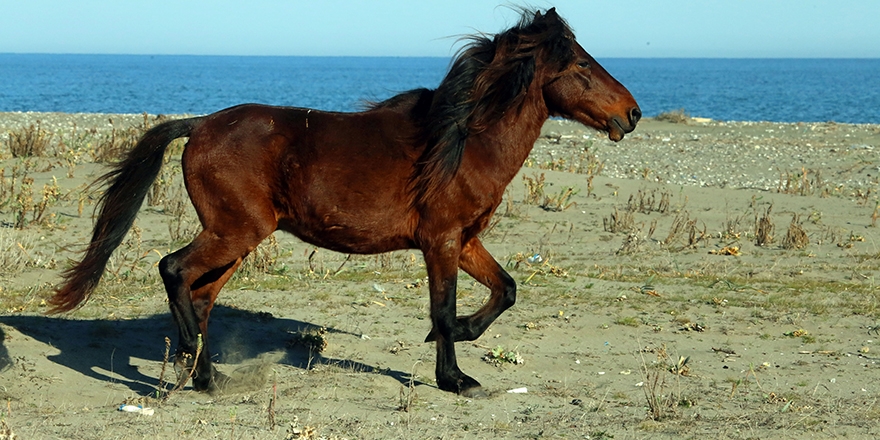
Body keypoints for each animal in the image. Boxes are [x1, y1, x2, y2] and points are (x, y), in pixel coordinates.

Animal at [49, 8, 640, 398]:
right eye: (581, 66)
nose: (632, 114)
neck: (461, 140)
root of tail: (201, 126)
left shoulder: (465, 240)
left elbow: (506, 291)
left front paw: (458, 350)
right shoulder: (441, 242)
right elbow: (445, 309)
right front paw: (455, 378)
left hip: (235, 240)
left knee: (200, 295)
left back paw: (203, 373)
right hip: (234, 231)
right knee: (174, 270)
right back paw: (202, 373)